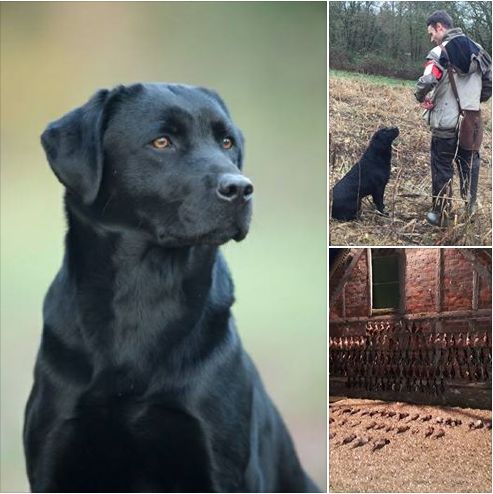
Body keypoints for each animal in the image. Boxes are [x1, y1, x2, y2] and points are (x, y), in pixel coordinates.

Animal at [23, 85, 320, 494]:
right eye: (162, 141)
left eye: (226, 142)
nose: (241, 188)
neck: (143, 292)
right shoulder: (54, 456)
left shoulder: (222, 464)